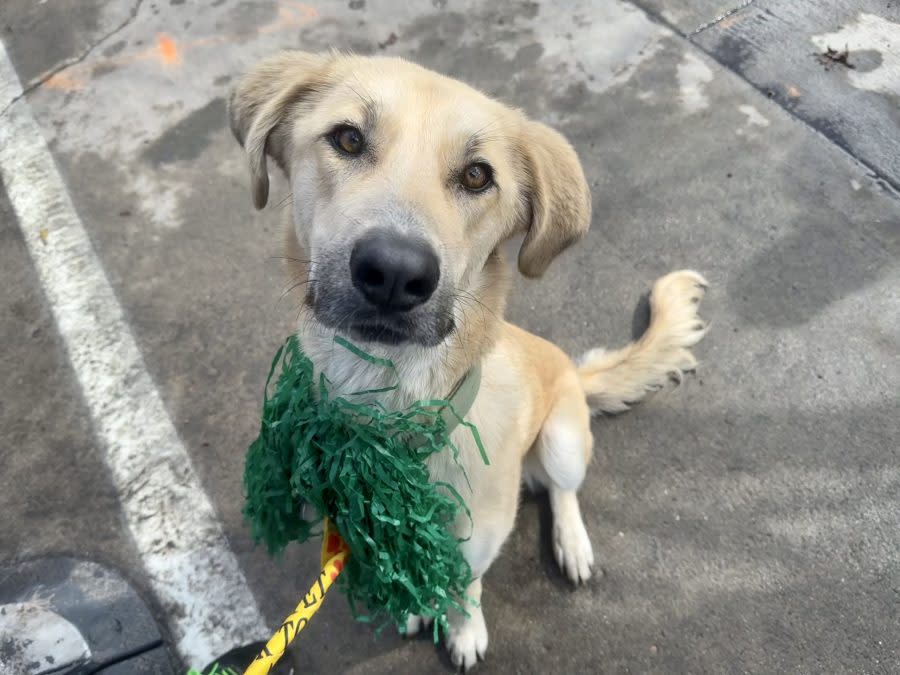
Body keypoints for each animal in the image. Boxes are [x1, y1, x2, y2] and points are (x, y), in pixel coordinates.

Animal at [229, 52, 708, 672]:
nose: (394, 273)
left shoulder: (479, 534)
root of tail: (575, 372)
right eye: (348, 138)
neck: (389, 405)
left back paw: (573, 544)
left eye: (478, 176)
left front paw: (463, 628)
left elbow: (465, 583)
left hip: (562, 441)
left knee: (564, 490)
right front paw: (413, 603)